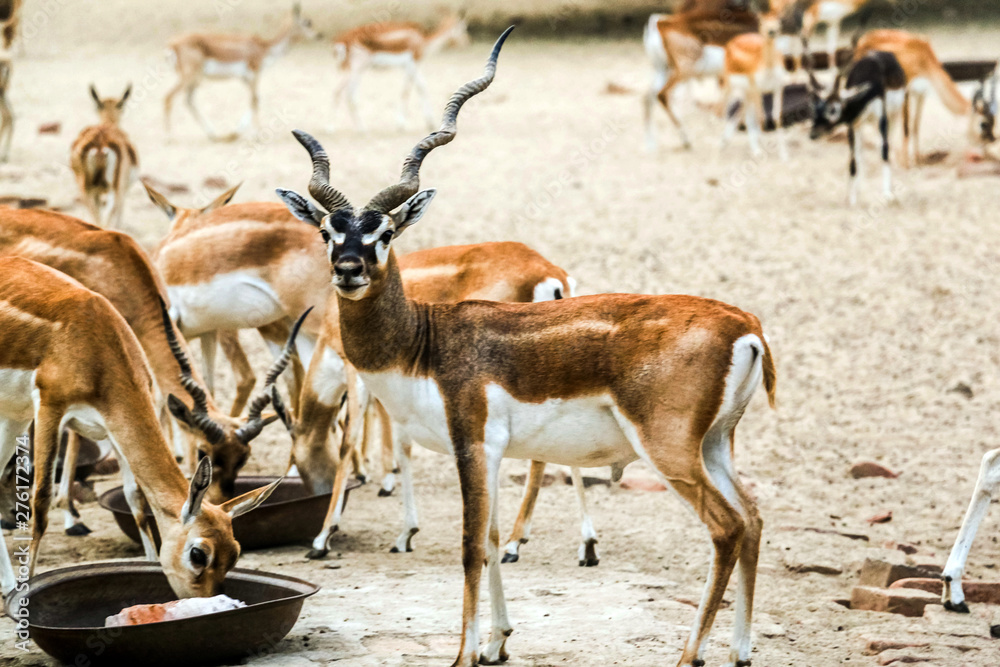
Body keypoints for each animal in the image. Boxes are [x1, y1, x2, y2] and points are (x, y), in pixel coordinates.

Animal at [0, 256, 281, 601]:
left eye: (236, 552)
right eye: (198, 554)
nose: (209, 600)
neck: (93, 342)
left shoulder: (113, 424)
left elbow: (135, 499)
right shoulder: (51, 409)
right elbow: (40, 501)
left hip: (13, 414)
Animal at [164, 3, 319, 141]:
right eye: (308, 22)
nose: (319, 35)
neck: (263, 48)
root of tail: (172, 44)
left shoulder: (245, 78)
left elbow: (254, 99)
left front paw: (235, 133)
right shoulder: (254, 74)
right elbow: (255, 100)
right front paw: (256, 135)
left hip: (195, 79)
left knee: (189, 100)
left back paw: (214, 135)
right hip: (189, 77)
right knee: (168, 97)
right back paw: (170, 137)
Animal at [277, 28, 777, 666]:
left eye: (384, 233)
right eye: (328, 231)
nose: (347, 270)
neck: (424, 341)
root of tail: (745, 325)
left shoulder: (472, 445)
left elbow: (469, 544)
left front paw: (463, 654)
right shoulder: (491, 456)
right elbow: (492, 540)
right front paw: (497, 643)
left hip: (669, 451)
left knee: (726, 527)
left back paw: (691, 654)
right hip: (714, 446)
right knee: (753, 519)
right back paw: (739, 650)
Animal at [330, 10, 470, 132]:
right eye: (463, 27)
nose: (466, 41)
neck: (422, 39)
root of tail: (342, 40)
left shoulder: (410, 66)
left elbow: (421, 87)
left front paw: (430, 122)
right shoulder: (412, 64)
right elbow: (407, 90)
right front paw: (402, 125)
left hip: (353, 69)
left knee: (349, 93)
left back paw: (360, 128)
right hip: (356, 69)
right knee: (339, 92)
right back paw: (333, 128)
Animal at [808, 49, 908, 206]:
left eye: (833, 110)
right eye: (815, 109)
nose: (813, 134)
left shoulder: (881, 118)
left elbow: (884, 151)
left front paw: (886, 195)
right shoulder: (853, 125)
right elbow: (853, 160)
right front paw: (852, 199)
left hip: (894, 116)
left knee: (887, 144)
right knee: (861, 153)